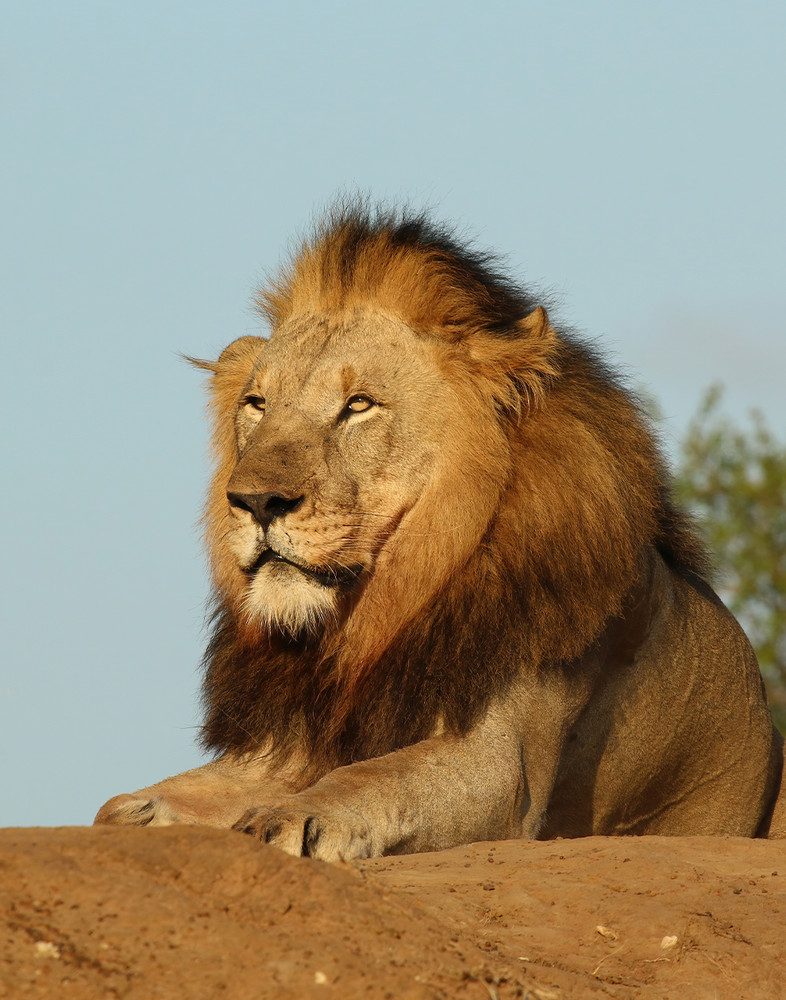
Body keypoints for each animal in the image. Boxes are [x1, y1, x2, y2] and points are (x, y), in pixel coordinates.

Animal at [95, 202, 784, 857]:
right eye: (257, 405)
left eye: (359, 405)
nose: (256, 501)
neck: (378, 613)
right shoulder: (289, 744)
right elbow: (125, 806)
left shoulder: (502, 764)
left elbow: (368, 778)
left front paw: (289, 820)